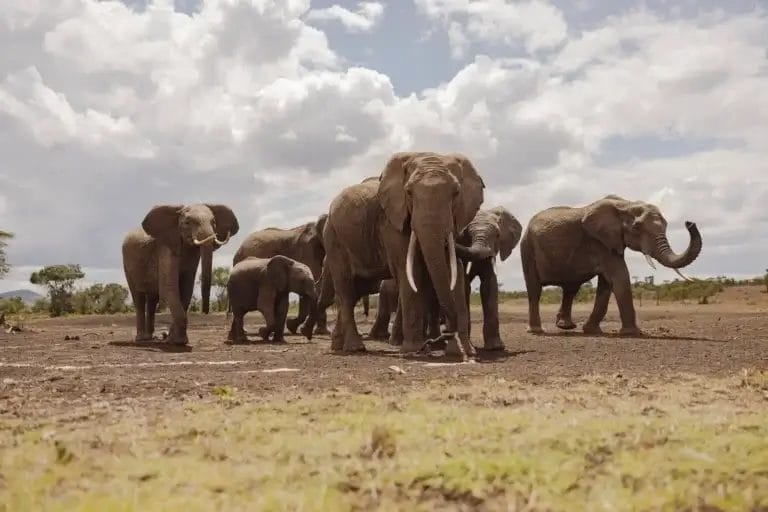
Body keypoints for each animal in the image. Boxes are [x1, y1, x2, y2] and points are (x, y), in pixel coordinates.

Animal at [122, 204, 239, 345]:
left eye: (214, 222)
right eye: (187, 222)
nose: (205, 311)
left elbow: (186, 290)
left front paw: (176, 339)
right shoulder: (166, 248)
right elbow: (168, 289)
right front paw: (177, 341)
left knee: (152, 299)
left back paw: (150, 337)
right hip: (127, 264)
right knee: (138, 297)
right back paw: (142, 339)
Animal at [322, 152, 484, 357]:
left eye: (456, 193)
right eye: (409, 193)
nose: (440, 338)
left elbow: (454, 269)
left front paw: (464, 351)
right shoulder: (392, 222)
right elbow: (411, 270)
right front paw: (414, 350)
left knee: (355, 289)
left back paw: (337, 345)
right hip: (333, 238)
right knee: (345, 288)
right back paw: (355, 348)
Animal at [520, 195, 702, 335]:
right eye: (637, 227)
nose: (690, 223)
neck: (626, 204)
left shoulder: (611, 243)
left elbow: (607, 284)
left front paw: (592, 331)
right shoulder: (600, 242)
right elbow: (620, 277)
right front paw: (632, 333)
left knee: (570, 289)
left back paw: (566, 327)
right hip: (527, 247)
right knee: (535, 289)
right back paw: (537, 331)